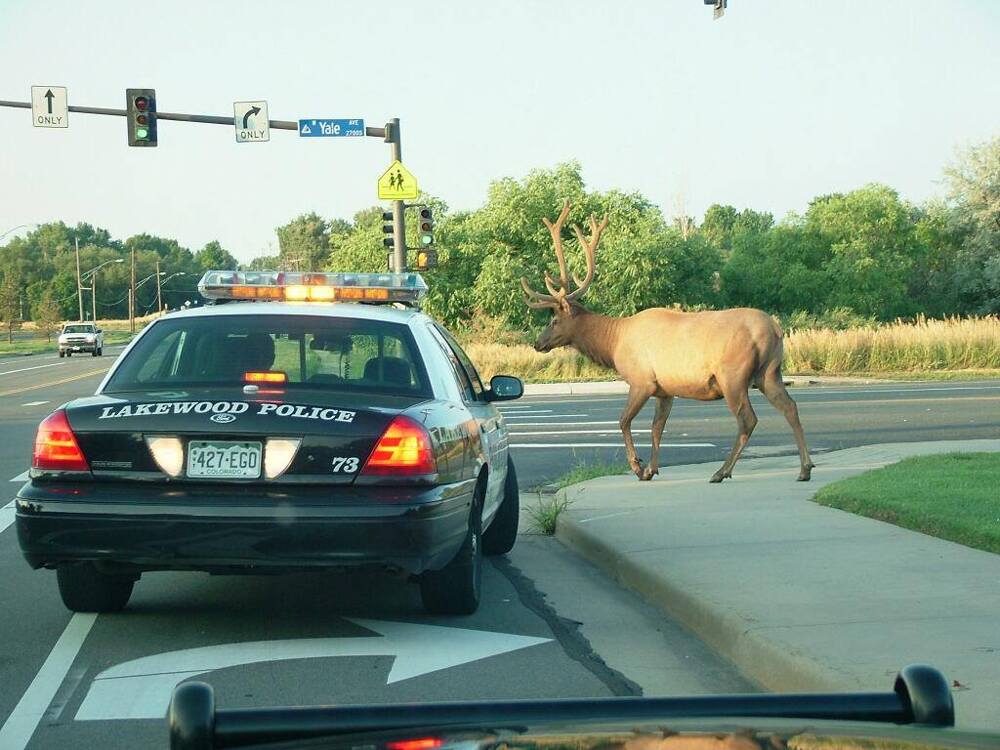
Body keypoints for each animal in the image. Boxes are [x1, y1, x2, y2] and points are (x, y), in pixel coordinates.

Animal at [524, 201, 812, 482]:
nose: (538, 343)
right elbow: (656, 427)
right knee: (790, 407)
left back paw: (722, 471)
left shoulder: (641, 380)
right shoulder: (665, 390)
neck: (613, 343)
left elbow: (624, 421)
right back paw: (805, 468)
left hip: (733, 375)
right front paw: (652, 469)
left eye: (554, 320)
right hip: (769, 372)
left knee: (748, 419)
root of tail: (775, 329)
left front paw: (638, 467)